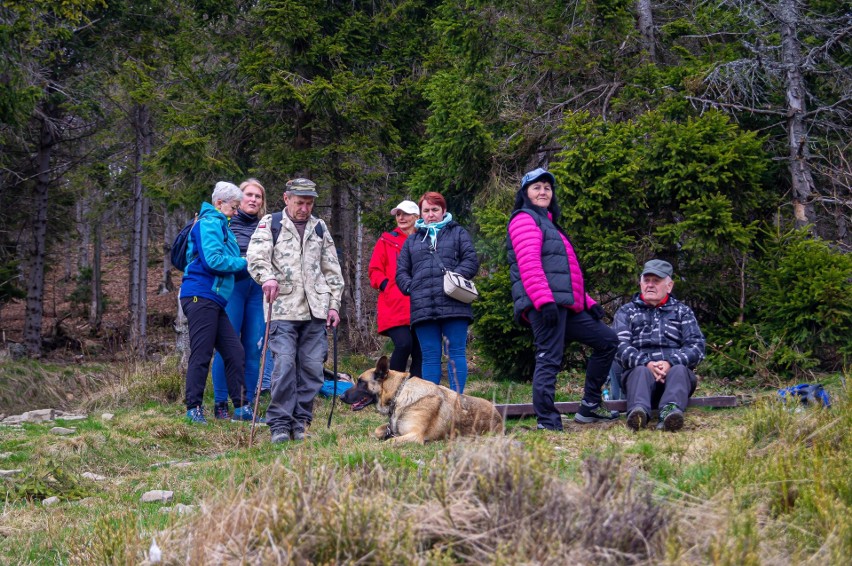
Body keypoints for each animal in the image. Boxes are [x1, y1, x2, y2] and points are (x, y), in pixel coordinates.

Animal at [344, 358, 506, 446]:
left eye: (361, 382)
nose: (341, 396)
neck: (399, 393)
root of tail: (499, 415)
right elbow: (378, 431)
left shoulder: (415, 436)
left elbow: (389, 442)